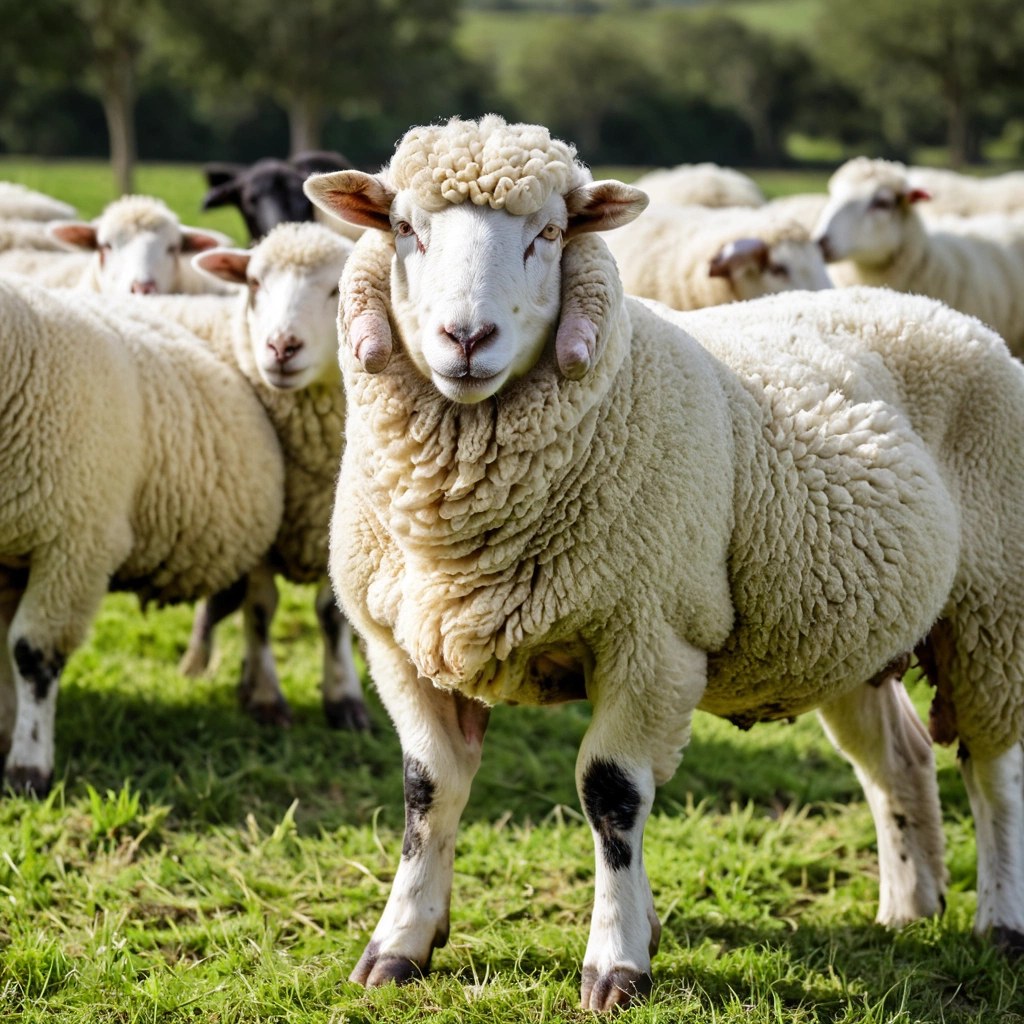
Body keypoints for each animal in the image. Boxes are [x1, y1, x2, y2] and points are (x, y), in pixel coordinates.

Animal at [140, 222, 370, 731]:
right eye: (253, 282)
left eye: (337, 288)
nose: (281, 347)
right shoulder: (262, 529)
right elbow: (261, 610)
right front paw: (266, 697)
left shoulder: (329, 523)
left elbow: (331, 616)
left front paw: (344, 696)